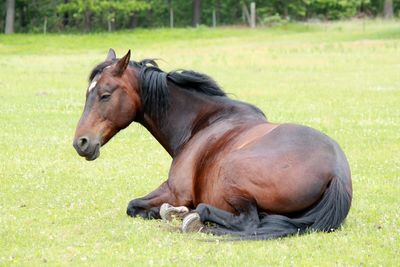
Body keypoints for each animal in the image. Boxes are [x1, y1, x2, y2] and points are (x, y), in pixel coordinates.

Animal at [73, 48, 352, 241]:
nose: (81, 142)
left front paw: (171, 212)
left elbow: (133, 206)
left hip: (233, 174)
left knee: (246, 221)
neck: (200, 123)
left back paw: (194, 218)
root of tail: (336, 172)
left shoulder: (174, 190)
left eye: (105, 95)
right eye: (87, 93)